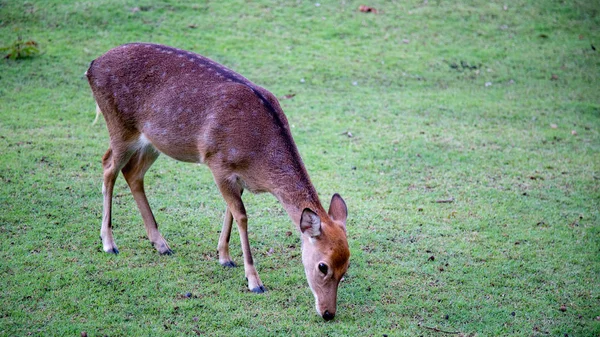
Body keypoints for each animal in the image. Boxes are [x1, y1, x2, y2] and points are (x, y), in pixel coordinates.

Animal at [86, 43, 354, 318]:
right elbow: (242, 216)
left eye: (346, 267)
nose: (328, 313)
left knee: (132, 173)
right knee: (108, 166)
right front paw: (254, 282)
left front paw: (224, 257)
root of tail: (92, 66)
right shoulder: (218, 162)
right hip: (120, 126)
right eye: (323, 266)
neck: (260, 159)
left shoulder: (237, 177)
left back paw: (160, 244)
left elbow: (231, 212)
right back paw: (109, 242)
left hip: (152, 141)